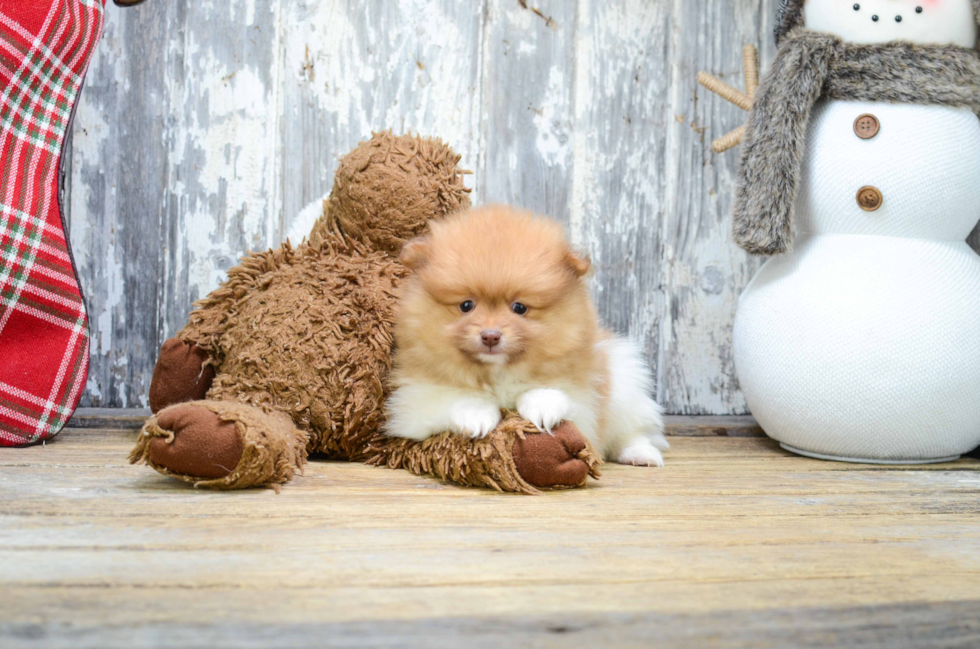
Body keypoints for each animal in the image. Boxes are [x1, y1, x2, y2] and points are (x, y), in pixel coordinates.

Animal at [382, 205, 668, 464]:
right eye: (466, 305)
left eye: (519, 307)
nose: (490, 335)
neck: (497, 373)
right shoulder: (412, 403)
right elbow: (452, 398)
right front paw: (476, 415)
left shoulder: (587, 401)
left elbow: (557, 393)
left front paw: (542, 406)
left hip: (624, 381)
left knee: (631, 432)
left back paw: (641, 454)